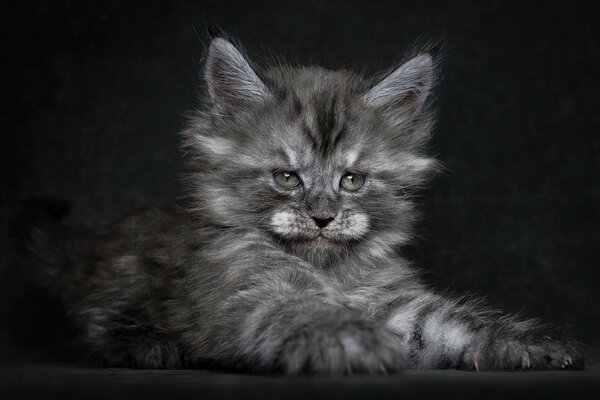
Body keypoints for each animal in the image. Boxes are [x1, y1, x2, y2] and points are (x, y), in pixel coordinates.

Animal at [21, 38, 584, 376]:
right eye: (287, 178)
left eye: (352, 180)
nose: (322, 216)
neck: (326, 269)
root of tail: (91, 252)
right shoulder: (249, 289)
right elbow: (303, 310)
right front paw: (354, 342)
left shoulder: (392, 301)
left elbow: (451, 323)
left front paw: (526, 342)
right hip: (121, 284)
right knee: (100, 323)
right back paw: (152, 345)